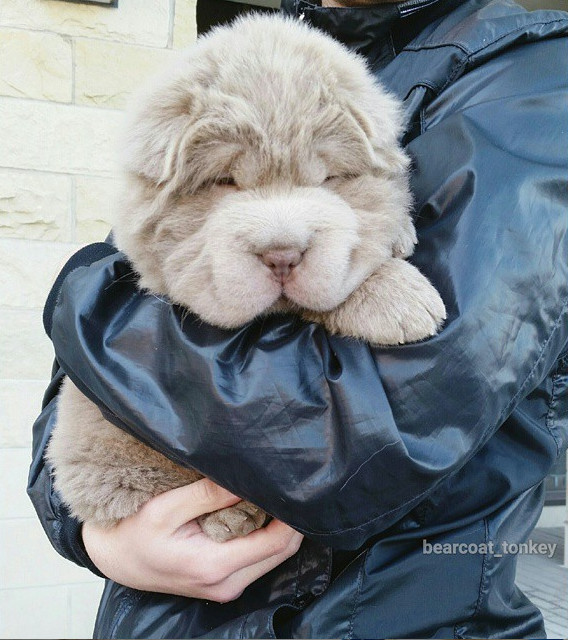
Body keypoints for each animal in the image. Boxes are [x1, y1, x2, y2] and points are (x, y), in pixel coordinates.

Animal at [46, 13, 446, 540]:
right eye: (224, 182)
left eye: (327, 179)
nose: (283, 254)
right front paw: (403, 301)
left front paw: (398, 236)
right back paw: (233, 517)